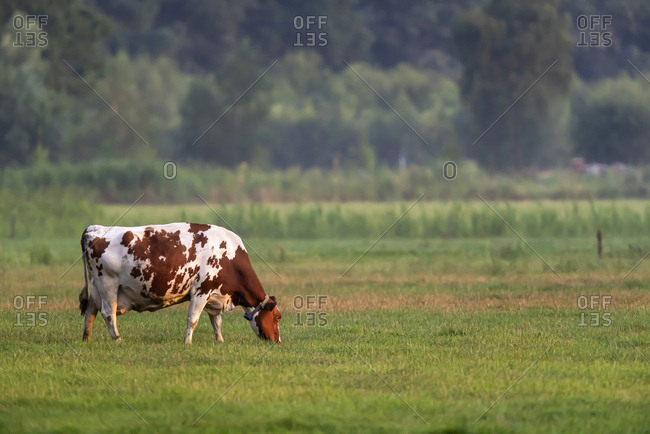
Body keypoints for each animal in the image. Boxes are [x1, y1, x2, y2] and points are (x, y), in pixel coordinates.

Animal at [78, 223, 281, 343]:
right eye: (278, 317)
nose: (277, 341)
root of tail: (94, 229)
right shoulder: (201, 291)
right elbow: (193, 319)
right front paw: (187, 342)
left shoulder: (214, 296)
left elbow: (216, 322)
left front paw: (220, 341)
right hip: (108, 285)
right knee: (108, 314)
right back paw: (118, 339)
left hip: (96, 288)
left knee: (90, 313)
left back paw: (86, 339)